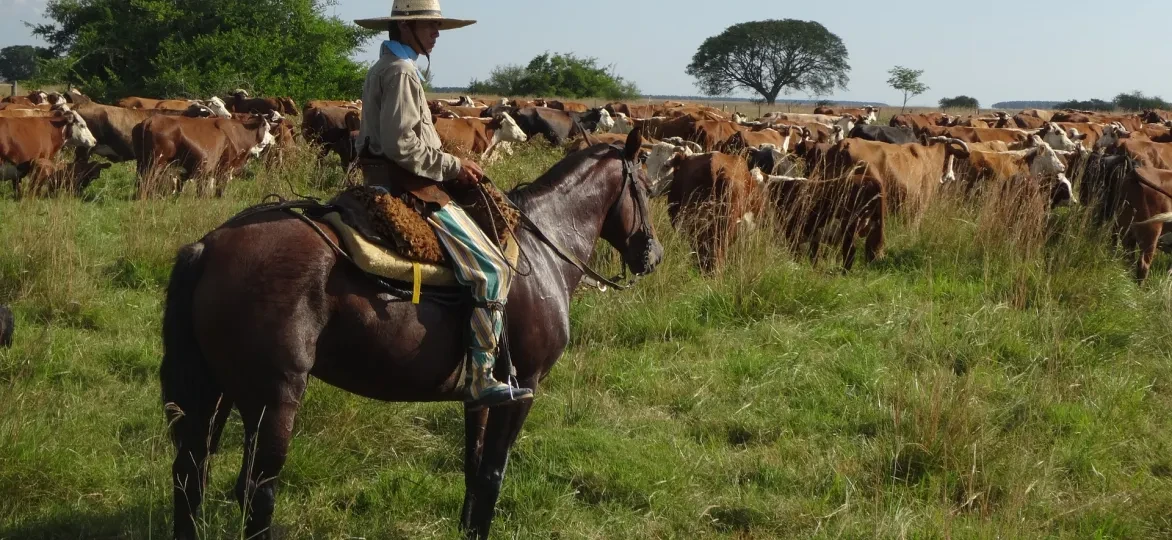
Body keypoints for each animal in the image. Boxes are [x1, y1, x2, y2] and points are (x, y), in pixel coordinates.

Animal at [133, 113, 276, 197]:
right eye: (268, 128)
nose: (273, 139)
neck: (238, 132)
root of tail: (150, 120)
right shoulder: (224, 167)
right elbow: (220, 187)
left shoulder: (206, 170)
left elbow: (202, 189)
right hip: (155, 163)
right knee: (147, 181)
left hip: (142, 163)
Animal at [161, 129, 662, 539]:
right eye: (646, 187)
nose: (652, 255)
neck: (541, 254)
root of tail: (209, 245)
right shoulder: (525, 387)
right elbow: (493, 474)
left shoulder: (482, 394)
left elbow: (474, 467)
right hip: (273, 398)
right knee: (257, 491)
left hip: (219, 390)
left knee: (191, 474)